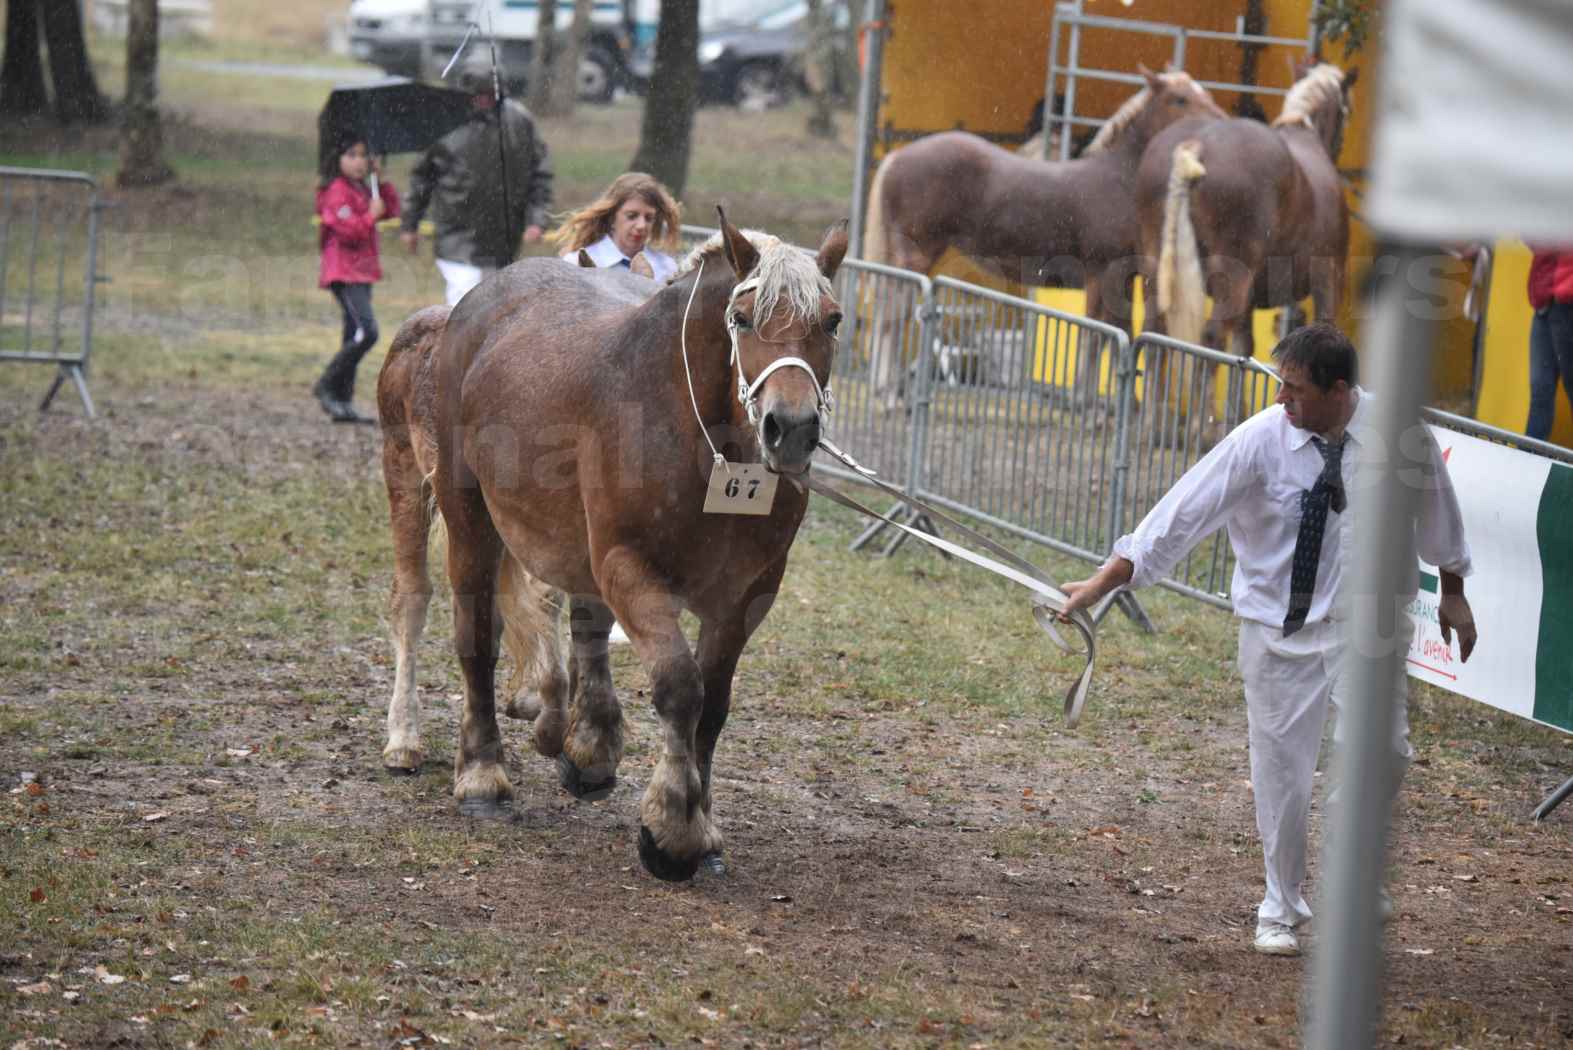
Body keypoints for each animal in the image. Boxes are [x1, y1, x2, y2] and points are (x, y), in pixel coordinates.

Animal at [377, 210, 849, 880]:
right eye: (742, 318)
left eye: (831, 320)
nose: (792, 427)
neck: (700, 439)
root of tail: (465, 311)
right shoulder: (628, 568)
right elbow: (680, 686)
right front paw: (672, 828)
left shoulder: (748, 594)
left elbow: (714, 702)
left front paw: (702, 824)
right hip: (463, 513)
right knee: (472, 634)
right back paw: (479, 772)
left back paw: (586, 746)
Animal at [862, 65, 1226, 402]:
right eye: (1180, 98)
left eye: (1204, 92)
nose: (1220, 124)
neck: (1117, 179)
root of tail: (898, 157)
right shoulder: (1101, 273)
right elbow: (1095, 336)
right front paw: (1084, 404)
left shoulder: (1124, 276)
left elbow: (1118, 335)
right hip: (917, 254)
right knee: (894, 313)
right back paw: (890, 395)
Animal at [1138, 61, 1359, 418]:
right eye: (1347, 110)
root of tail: (1195, 144)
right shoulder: (1328, 281)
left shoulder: (1251, 296)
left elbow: (1245, 347)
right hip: (1234, 274)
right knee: (1211, 336)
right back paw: (1200, 421)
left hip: (1156, 264)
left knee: (1154, 330)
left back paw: (1150, 420)